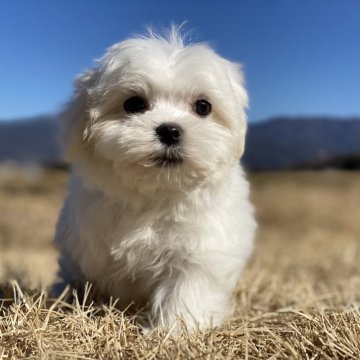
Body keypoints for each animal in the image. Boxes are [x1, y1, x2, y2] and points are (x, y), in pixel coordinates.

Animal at [54, 28, 256, 332]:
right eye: (134, 104)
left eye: (203, 106)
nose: (170, 130)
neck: (155, 192)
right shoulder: (83, 244)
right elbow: (80, 278)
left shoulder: (200, 250)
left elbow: (187, 289)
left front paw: (174, 330)